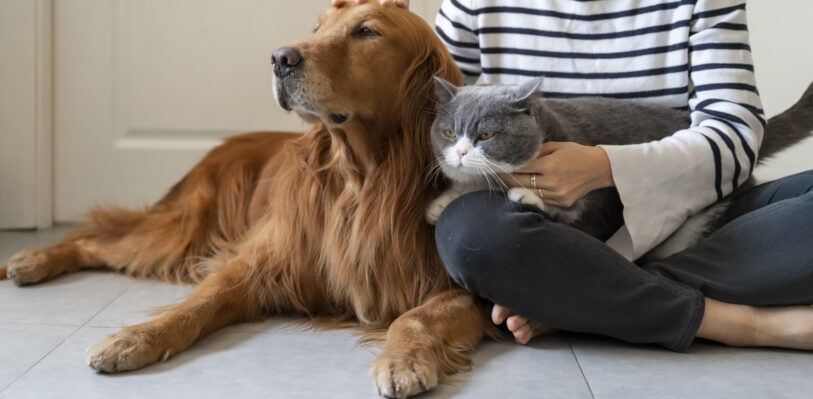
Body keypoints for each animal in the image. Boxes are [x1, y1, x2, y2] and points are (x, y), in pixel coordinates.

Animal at [1, 3, 494, 399]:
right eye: (317, 27)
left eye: (367, 31)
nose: (280, 58)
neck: (362, 179)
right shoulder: (259, 264)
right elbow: (197, 304)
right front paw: (135, 338)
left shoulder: (464, 293)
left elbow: (413, 318)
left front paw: (401, 360)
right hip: (185, 228)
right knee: (99, 238)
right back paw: (31, 260)